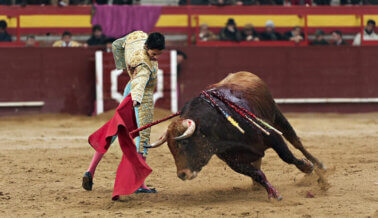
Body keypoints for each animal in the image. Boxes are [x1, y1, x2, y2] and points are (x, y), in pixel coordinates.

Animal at [148, 71, 324, 199]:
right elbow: (257, 174)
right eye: (170, 148)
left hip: (277, 115)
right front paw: (272, 193)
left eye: (184, 143)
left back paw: (319, 165)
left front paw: (307, 167)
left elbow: (287, 156)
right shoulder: (233, 160)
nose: (182, 174)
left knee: (296, 142)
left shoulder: (273, 136)